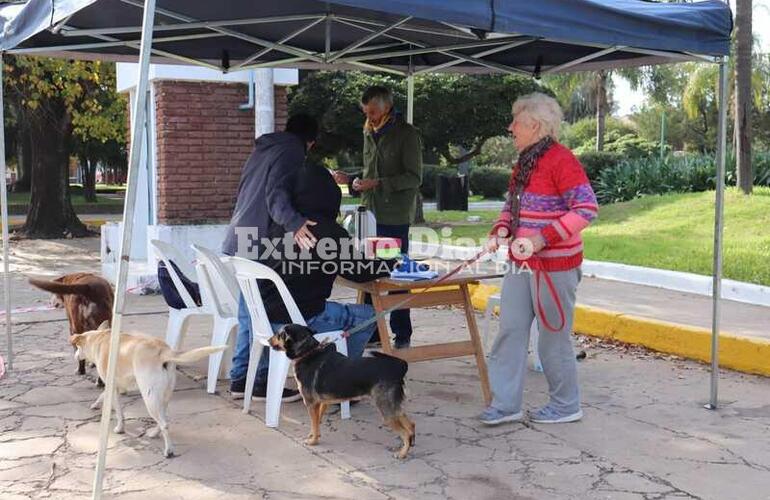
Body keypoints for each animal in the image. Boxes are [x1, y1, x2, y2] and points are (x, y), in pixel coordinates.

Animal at [69, 322, 226, 458]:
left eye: (77, 347)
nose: (75, 356)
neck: (99, 339)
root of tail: (164, 351)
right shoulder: (115, 386)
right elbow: (102, 395)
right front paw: (95, 404)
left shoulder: (113, 388)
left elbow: (119, 412)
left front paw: (120, 428)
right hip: (162, 397)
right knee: (164, 419)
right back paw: (154, 433)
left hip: (149, 398)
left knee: (164, 423)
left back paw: (169, 450)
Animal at [268, 322, 414, 458]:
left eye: (278, 335)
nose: (269, 340)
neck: (307, 353)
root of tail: (398, 368)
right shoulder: (321, 403)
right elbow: (316, 423)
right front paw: (313, 435)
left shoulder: (311, 404)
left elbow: (314, 423)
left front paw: (313, 441)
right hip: (393, 408)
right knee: (411, 425)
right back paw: (409, 445)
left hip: (386, 411)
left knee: (405, 432)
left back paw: (402, 453)